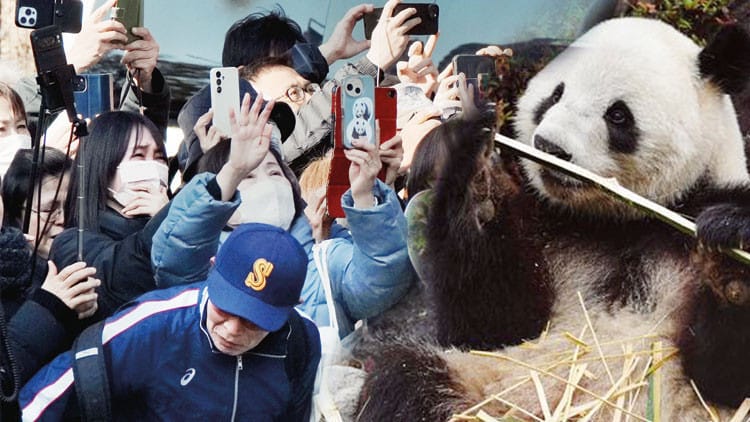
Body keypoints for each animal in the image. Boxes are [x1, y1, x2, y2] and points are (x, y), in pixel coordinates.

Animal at [357, 18, 750, 421]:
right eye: (555, 95)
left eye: (618, 114)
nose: (549, 147)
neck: (617, 220)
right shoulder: (547, 224)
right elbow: (494, 323)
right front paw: (479, 179)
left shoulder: (695, 210)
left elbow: (723, 378)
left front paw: (732, 253)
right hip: (487, 385)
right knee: (405, 382)